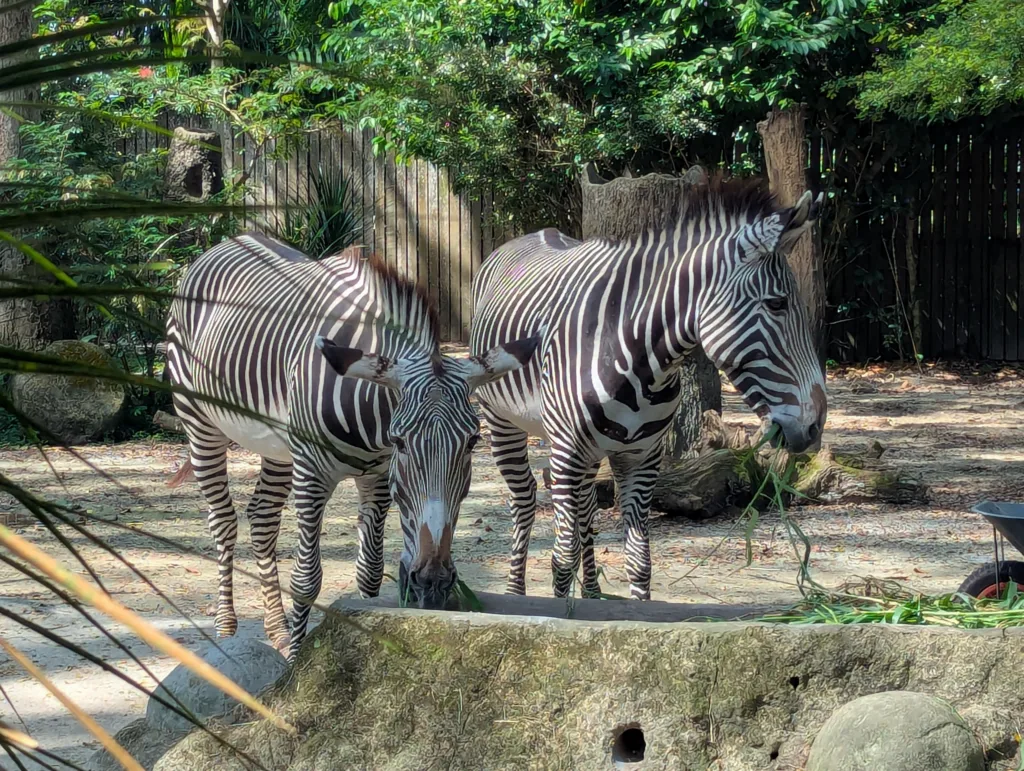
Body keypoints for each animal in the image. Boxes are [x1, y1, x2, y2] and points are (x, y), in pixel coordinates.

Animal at [165, 233, 537, 656]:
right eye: (400, 442)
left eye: (473, 442)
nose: (433, 582)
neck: (372, 424)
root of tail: (232, 240)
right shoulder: (312, 474)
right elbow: (306, 579)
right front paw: (297, 663)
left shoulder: (377, 479)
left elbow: (371, 572)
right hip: (199, 423)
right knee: (223, 521)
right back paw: (226, 629)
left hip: (278, 447)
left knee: (262, 518)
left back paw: (276, 630)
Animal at [469, 174, 828, 601]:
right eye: (776, 304)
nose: (816, 425)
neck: (643, 365)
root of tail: (529, 236)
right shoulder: (567, 451)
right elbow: (561, 560)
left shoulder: (642, 457)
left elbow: (640, 561)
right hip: (503, 422)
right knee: (523, 500)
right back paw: (514, 592)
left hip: (593, 450)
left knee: (587, 506)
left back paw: (593, 594)